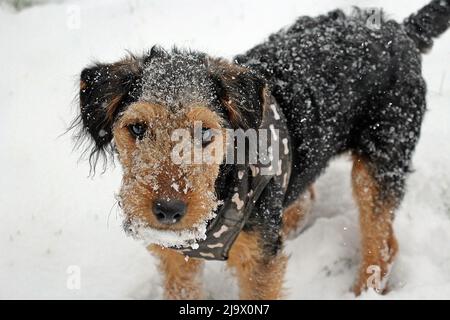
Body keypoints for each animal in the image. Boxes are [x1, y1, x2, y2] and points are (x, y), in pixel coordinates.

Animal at [73, 1, 450, 298]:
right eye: (137, 128)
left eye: (205, 131)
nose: (168, 210)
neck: (223, 187)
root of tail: (400, 29)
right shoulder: (175, 259)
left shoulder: (258, 264)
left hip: (381, 163)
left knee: (381, 243)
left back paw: (364, 289)